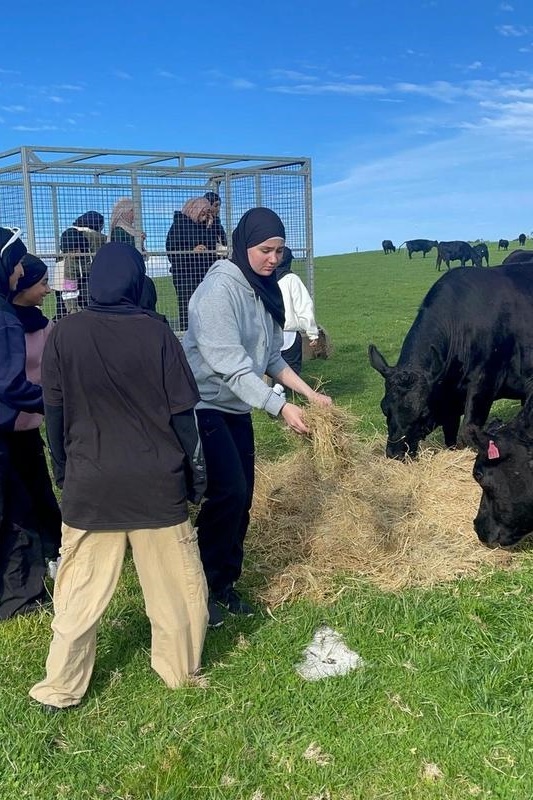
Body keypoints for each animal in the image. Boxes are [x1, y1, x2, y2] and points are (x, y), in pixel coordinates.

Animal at [368, 262, 532, 460]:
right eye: (384, 407)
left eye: (423, 413)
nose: (396, 453)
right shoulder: (449, 403)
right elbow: (450, 437)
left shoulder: (484, 383)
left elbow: (467, 431)